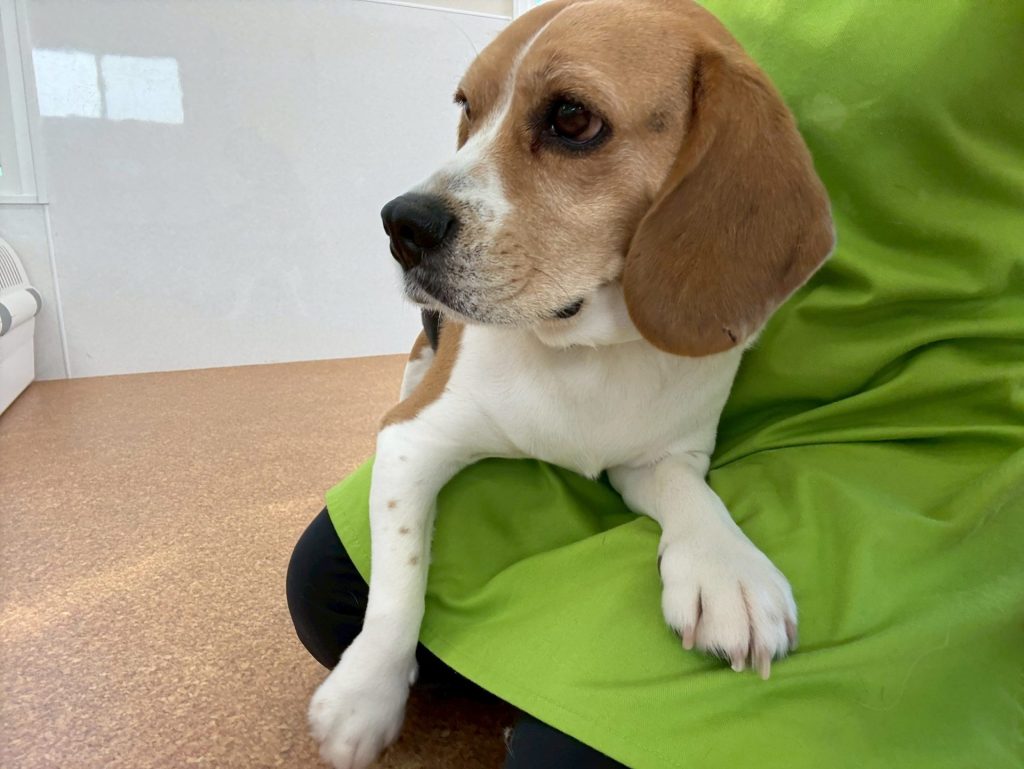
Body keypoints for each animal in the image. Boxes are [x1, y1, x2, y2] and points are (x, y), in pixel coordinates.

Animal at [309, 0, 833, 766]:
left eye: (573, 119)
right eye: (466, 107)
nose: (400, 223)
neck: (584, 348)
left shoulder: (662, 457)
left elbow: (695, 498)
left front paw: (725, 568)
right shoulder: (413, 440)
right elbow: (400, 578)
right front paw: (364, 693)